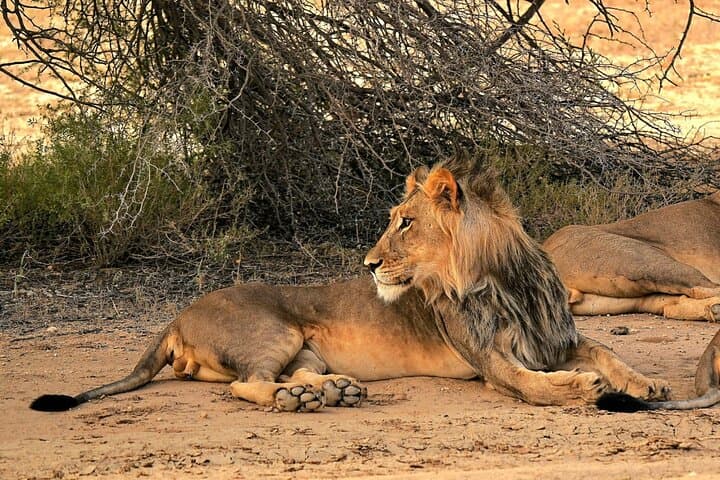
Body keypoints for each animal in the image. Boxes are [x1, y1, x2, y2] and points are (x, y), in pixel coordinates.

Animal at [30, 154, 670, 413]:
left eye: (405, 222)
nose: (366, 263)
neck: (504, 279)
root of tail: (176, 315)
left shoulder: (557, 336)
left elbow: (608, 350)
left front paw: (648, 384)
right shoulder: (488, 360)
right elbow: (529, 383)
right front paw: (578, 389)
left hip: (304, 349)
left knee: (288, 376)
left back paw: (332, 390)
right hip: (273, 332)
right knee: (247, 385)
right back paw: (298, 401)